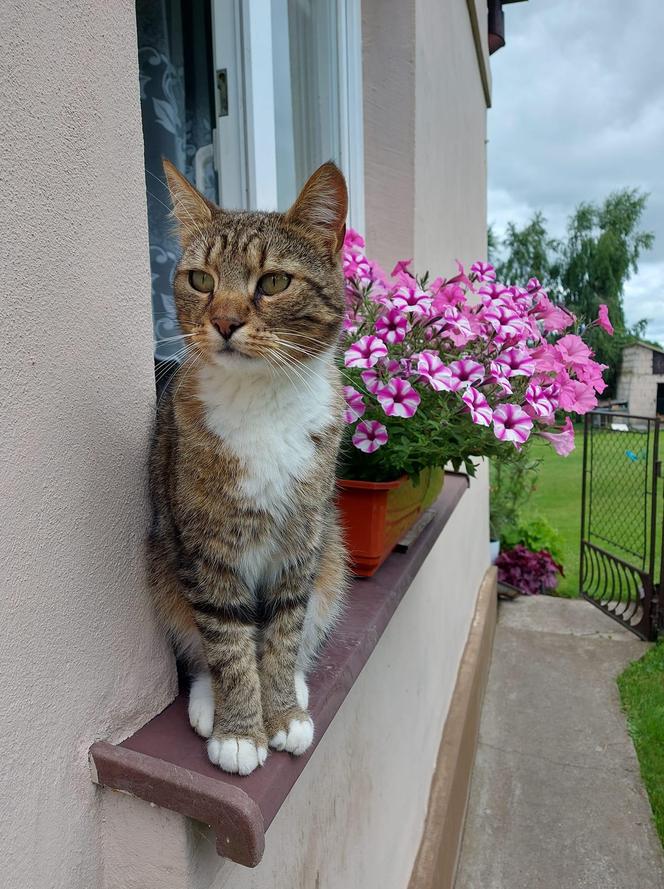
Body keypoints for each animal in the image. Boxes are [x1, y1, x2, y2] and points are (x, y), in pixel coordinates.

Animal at [148, 163, 350, 772]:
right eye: (200, 279)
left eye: (274, 282)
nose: (224, 321)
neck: (262, 401)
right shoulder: (205, 547)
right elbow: (228, 641)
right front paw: (240, 731)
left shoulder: (301, 542)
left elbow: (282, 632)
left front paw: (282, 713)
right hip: (164, 565)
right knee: (201, 643)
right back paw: (210, 702)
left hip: (333, 554)